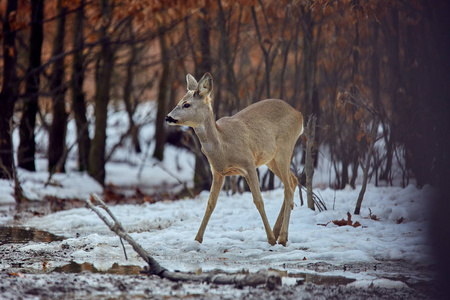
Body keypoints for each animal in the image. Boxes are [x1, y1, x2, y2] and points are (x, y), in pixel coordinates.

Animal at [167, 72, 304, 246]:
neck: (223, 147)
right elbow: (211, 203)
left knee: (288, 189)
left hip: (285, 148)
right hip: (270, 158)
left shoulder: (249, 163)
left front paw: (271, 240)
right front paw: (197, 239)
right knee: (293, 181)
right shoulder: (218, 172)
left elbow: (258, 200)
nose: (168, 117)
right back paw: (277, 231)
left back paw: (282, 237)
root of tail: (299, 114)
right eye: (179, 101)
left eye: (186, 104)